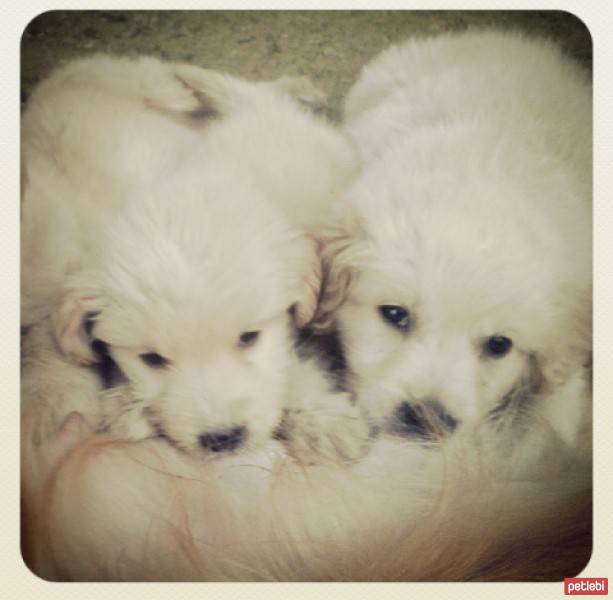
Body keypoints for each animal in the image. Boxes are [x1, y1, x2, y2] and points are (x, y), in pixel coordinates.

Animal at [21, 54, 366, 460]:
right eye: (153, 360)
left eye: (248, 338)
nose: (223, 438)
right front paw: (129, 406)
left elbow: (287, 370)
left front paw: (324, 420)